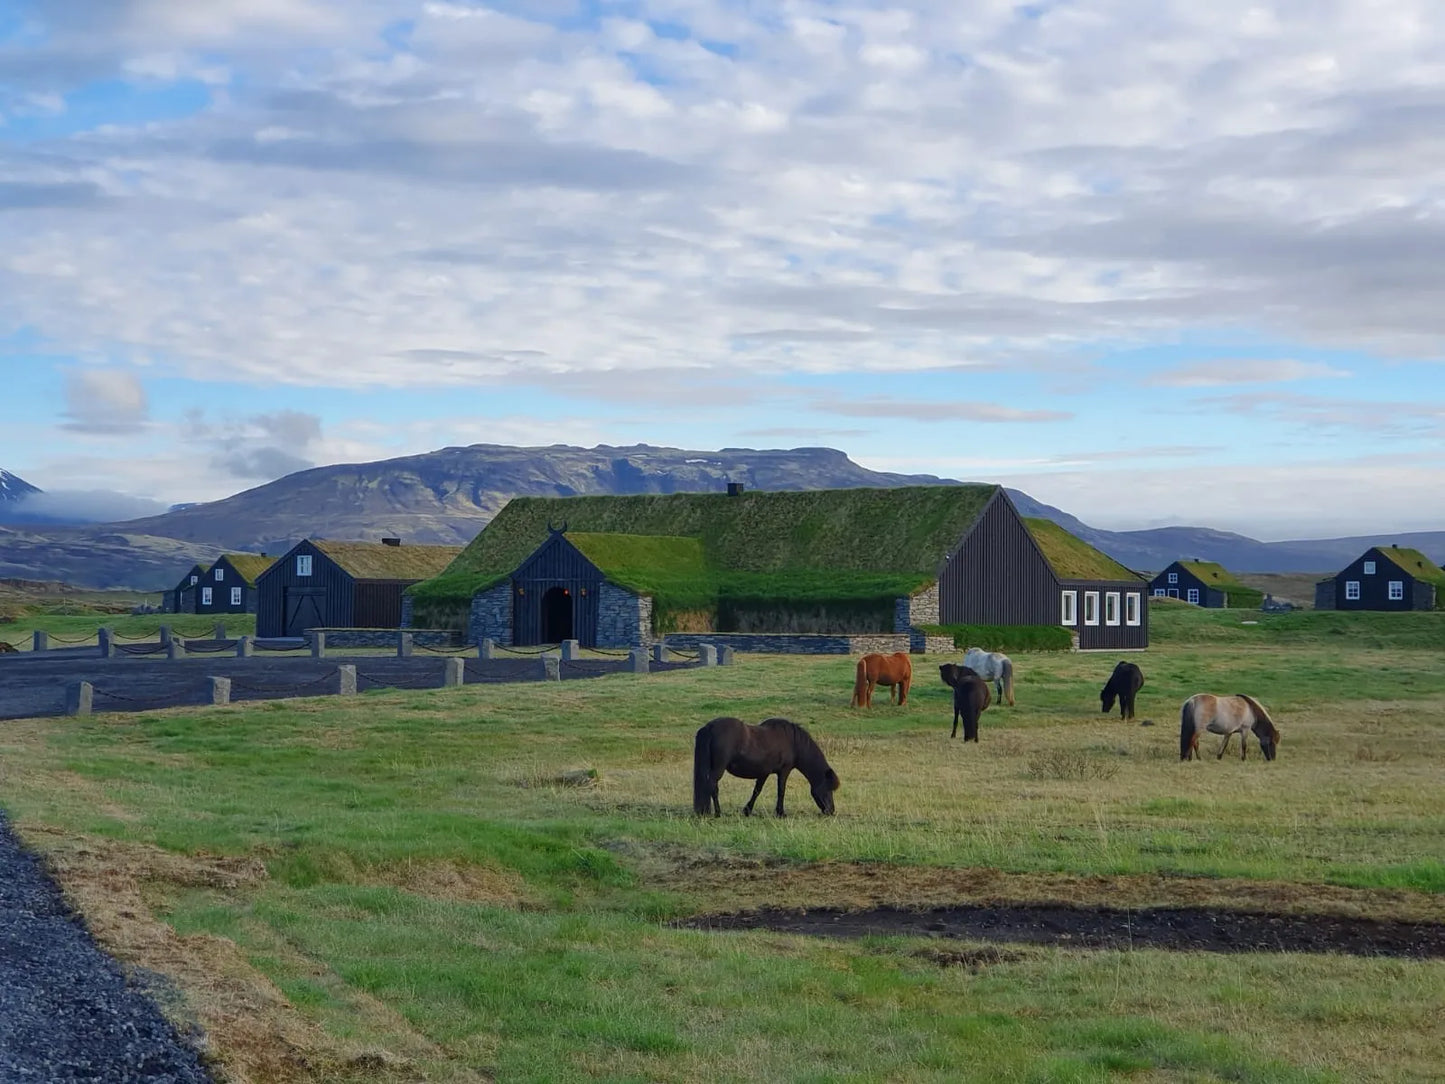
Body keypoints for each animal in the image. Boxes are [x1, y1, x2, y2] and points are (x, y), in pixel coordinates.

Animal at [693, 716, 843, 820]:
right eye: (828, 789)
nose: (831, 810)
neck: (793, 742)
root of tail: (709, 727)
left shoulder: (763, 772)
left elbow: (757, 791)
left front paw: (747, 810)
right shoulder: (784, 771)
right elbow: (781, 791)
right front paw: (780, 813)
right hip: (718, 769)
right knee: (712, 786)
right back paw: (718, 812)